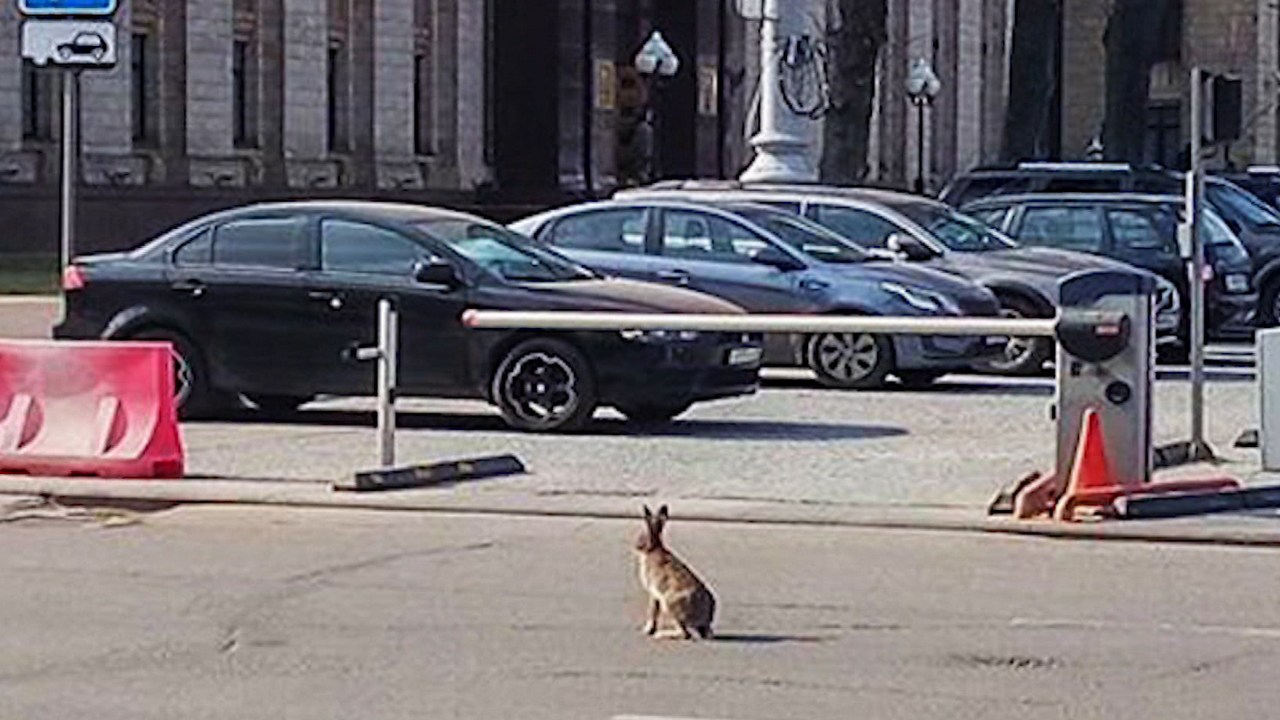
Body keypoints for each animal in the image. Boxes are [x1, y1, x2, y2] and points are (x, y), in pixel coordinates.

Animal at [634, 502, 716, 635]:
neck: (653, 548)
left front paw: (648, 630)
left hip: (670, 605)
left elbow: (653, 611)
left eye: (642, 536)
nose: (635, 545)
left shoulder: (653, 593)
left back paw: (660, 634)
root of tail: (704, 619)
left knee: (685, 634)